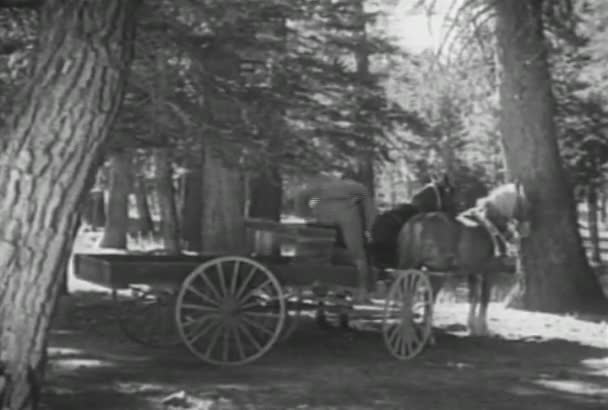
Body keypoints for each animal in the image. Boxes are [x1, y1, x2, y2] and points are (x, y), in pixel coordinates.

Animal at [394, 183, 532, 336]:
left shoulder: (473, 271)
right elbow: (484, 298)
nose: (526, 229)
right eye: (525, 202)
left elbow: (473, 296)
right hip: (431, 269)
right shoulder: (488, 271)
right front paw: (483, 328)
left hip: (421, 266)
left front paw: (472, 326)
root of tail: (418, 221)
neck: (489, 222)